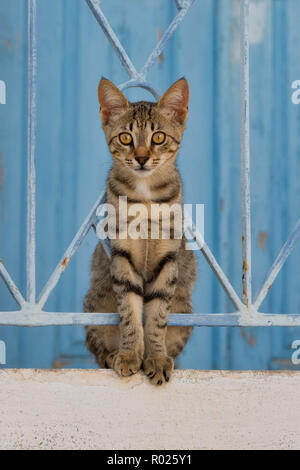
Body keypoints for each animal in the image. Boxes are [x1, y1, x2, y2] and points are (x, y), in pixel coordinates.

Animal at [84, 78, 197, 386]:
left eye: (158, 137)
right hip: (93, 305)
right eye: (125, 138)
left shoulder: (167, 259)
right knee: (97, 349)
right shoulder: (122, 257)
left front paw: (156, 358)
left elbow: (157, 317)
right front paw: (129, 354)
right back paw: (112, 355)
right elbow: (129, 313)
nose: (142, 158)